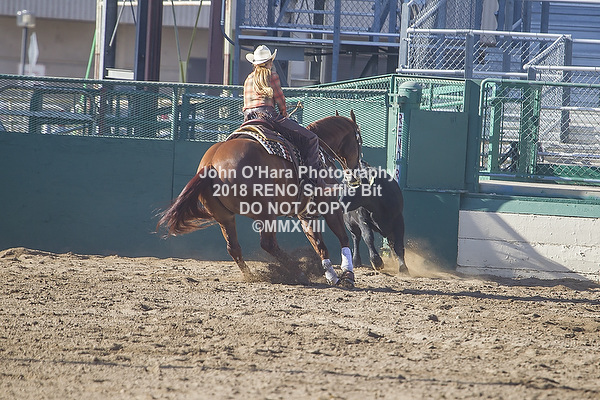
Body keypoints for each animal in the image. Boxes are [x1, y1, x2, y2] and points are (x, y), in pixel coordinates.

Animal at [157, 111, 363, 287]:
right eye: (359, 140)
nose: (356, 172)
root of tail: (210, 165)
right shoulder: (330, 207)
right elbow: (343, 237)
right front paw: (348, 275)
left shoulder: (306, 214)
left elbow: (320, 245)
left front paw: (332, 276)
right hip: (265, 213)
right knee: (268, 244)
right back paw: (298, 273)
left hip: (224, 217)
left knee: (233, 247)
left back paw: (251, 276)